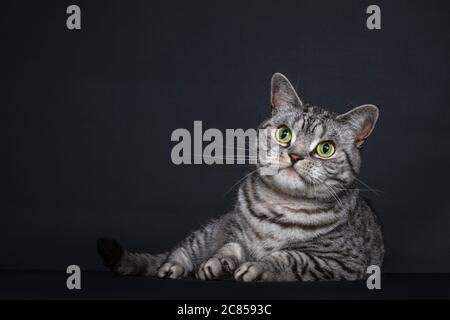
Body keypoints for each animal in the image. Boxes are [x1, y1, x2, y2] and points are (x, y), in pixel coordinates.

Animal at [97, 72, 384, 280]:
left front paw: (258, 267)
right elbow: (231, 246)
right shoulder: (233, 230)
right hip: (211, 230)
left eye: (326, 149)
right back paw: (172, 266)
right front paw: (219, 262)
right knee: (182, 249)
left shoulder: (342, 260)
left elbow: (290, 257)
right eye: (284, 134)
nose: (295, 156)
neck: (279, 209)